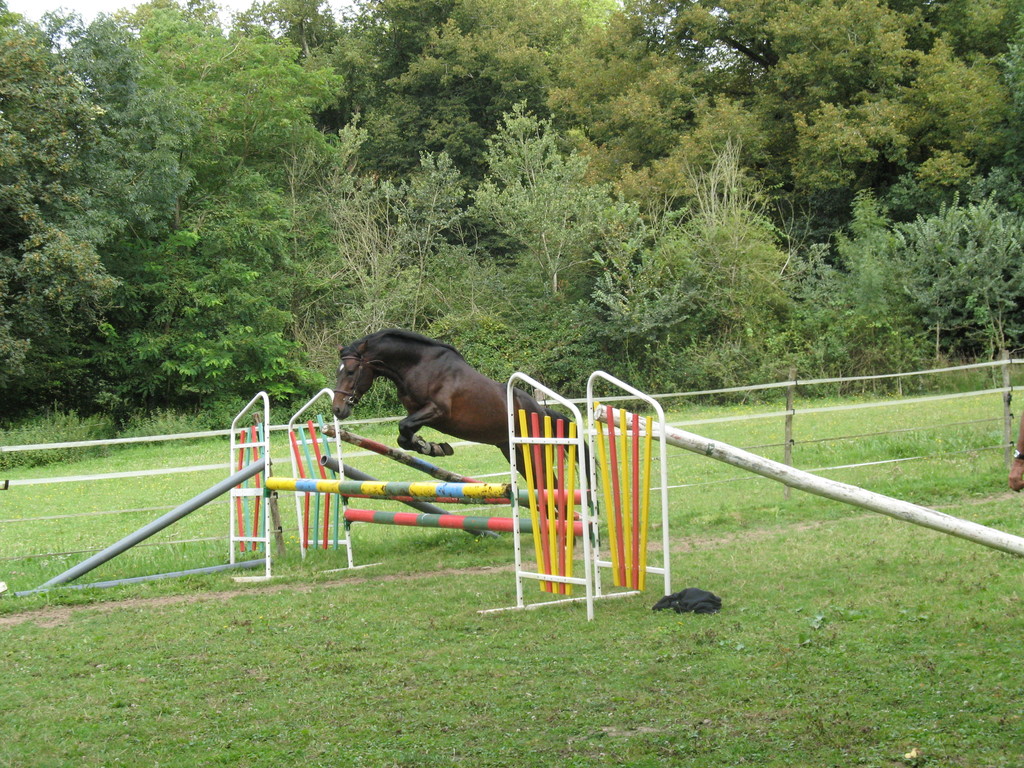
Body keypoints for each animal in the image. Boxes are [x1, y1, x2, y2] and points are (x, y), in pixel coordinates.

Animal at [335, 325, 577, 468]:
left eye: (350, 371)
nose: (337, 409)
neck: (418, 366)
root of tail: (542, 409)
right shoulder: (417, 412)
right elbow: (403, 436)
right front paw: (432, 447)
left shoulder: (437, 410)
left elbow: (403, 427)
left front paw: (430, 447)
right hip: (511, 450)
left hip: (534, 449)